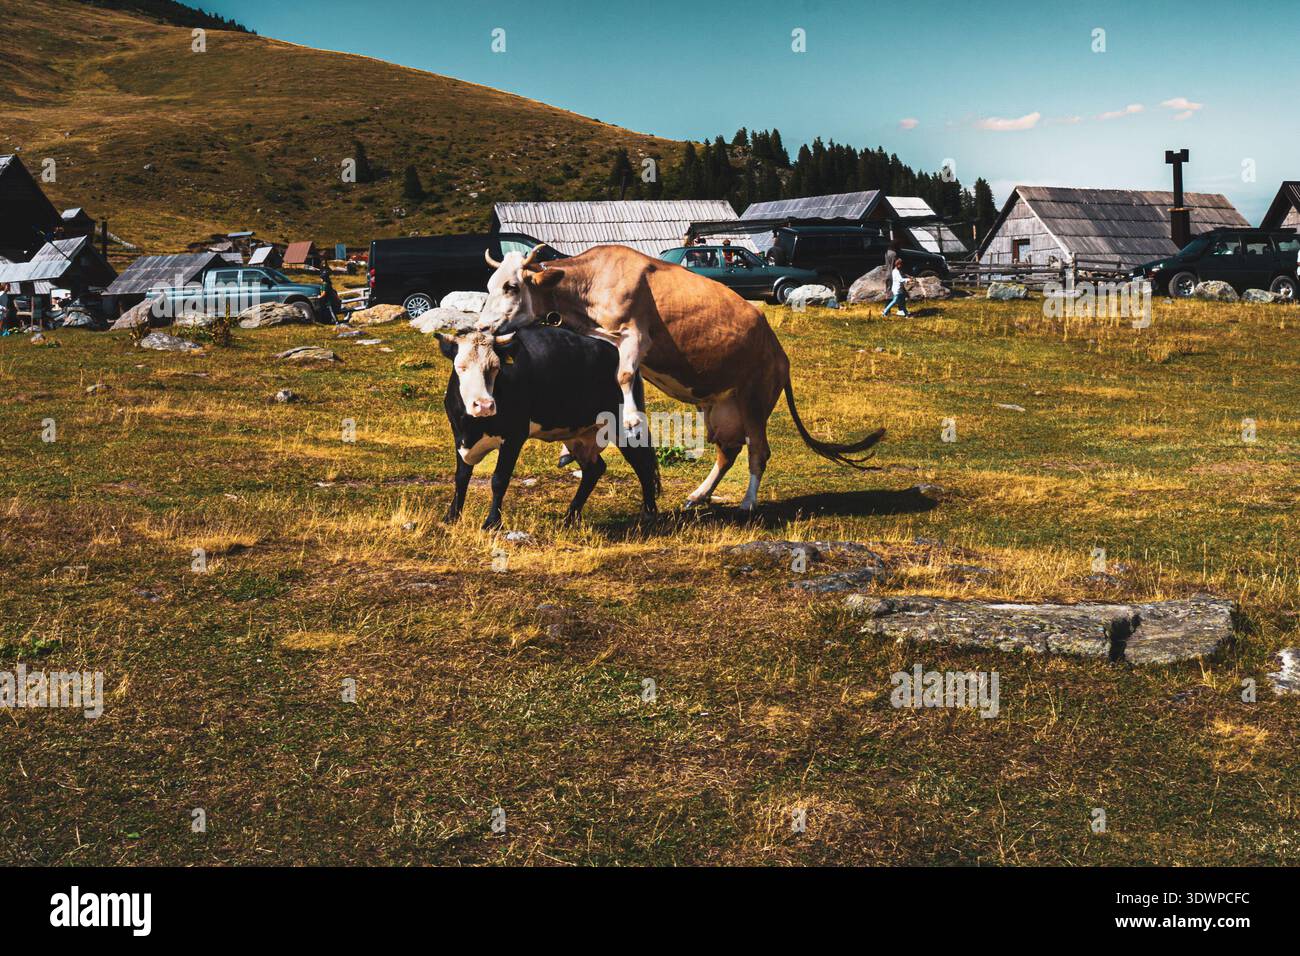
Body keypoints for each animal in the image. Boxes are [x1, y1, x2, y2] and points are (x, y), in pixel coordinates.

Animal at [439, 323, 659, 530]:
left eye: (495, 367)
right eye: (461, 367)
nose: (484, 405)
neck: (474, 427)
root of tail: (612, 350)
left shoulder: (514, 437)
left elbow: (499, 480)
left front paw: (492, 522)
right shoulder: (459, 436)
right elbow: (461, 477)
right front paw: (452, 516)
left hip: (622, 425)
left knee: (642, 463)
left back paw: (649, 514)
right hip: (578, 435)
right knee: (594, 469)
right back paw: (570, 516)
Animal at [479, 244, 884, 511]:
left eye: (512, 286)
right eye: (488, 286)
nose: (483, 326)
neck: (589, 288)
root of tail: (779, 353)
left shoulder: (636, 334)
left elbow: (625, 375)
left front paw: (631, 420)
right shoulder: (606, 339)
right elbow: (616, 382)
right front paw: (569, 449)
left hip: (755, 400)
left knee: (759, 451)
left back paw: (747, 503)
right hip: (722, 409)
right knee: (728, 451)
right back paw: (698, 496)